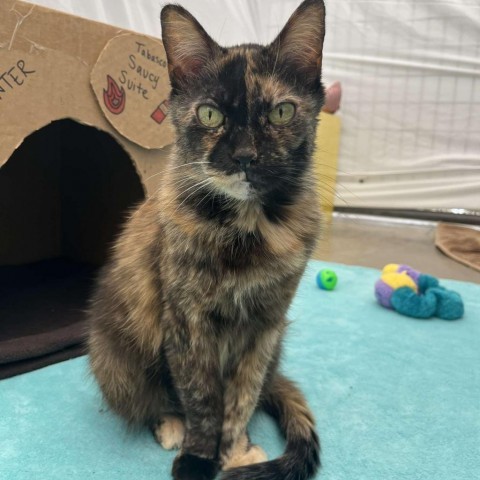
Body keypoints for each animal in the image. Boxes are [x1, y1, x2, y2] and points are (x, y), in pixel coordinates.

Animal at [87, 0, 324, 478]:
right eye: (209, 114)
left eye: (282, 113)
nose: (245, 156)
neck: (248, 232)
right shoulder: (186, 321)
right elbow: (200, 397)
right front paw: (198, 456)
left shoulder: (265, 326)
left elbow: (242, 394)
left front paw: (233, 451)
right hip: (116, 358)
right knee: (155, 399)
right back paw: (170, 426)